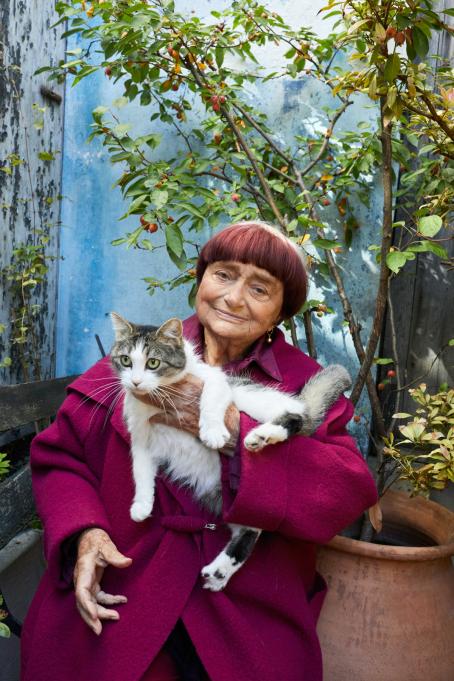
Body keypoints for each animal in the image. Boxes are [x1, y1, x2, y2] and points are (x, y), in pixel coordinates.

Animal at [109, 312, 352, 588]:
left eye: (153, 363)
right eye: (126, 361)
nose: (136, 382)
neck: (159, 398)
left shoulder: (216, 380)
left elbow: (210, 398)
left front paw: (212, 432)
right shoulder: (140, 438)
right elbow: (140, 472)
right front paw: (141, 506)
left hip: (254, 398)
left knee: (295, 416)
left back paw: (261, 436)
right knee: (250, 531)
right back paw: (218, 573)